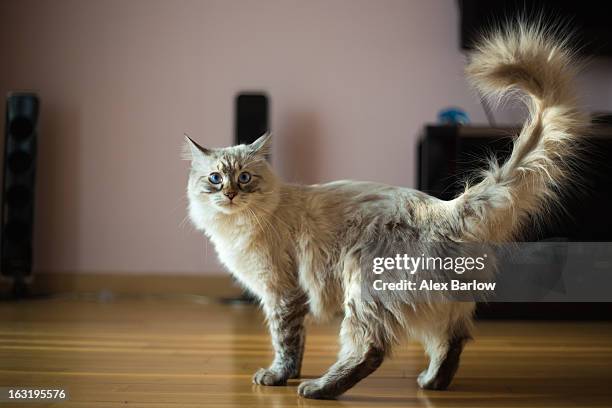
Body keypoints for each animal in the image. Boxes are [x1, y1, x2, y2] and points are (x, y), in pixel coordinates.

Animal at [185, 23, 588, 398]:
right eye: (215, 179)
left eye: (245, 178)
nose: (231, 194)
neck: (237, 227)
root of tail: (445, 210)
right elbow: (293, 345)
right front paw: (288, 375)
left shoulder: (282, 294)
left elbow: (285, 342)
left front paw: (279, 378)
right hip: (434, 303)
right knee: (452, 341)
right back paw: (430, 383)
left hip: (364, 291)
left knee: (370, 351)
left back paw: (319, 389)